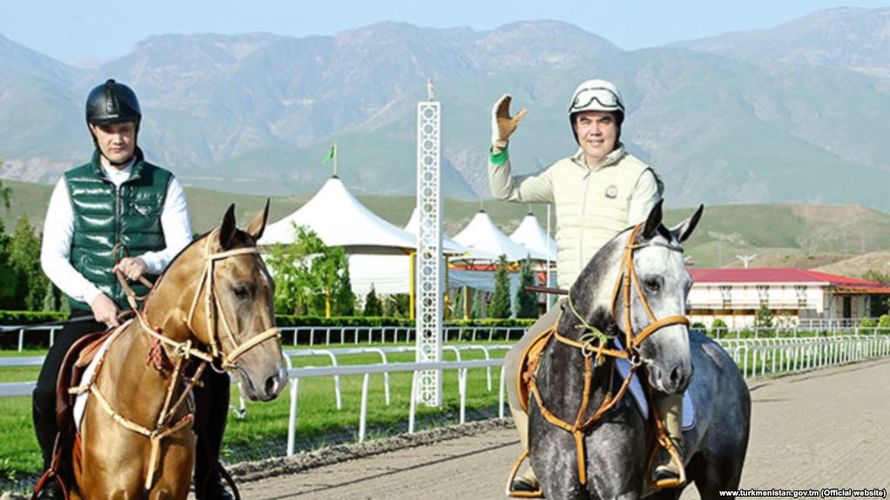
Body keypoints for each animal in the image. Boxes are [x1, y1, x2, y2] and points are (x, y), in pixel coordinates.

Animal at [527, 201, 751, 499]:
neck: (579, 404)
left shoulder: (622, 490)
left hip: (722, 477)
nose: (680, 372)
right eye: (652, 283)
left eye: (688, 285)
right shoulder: (559, 488)